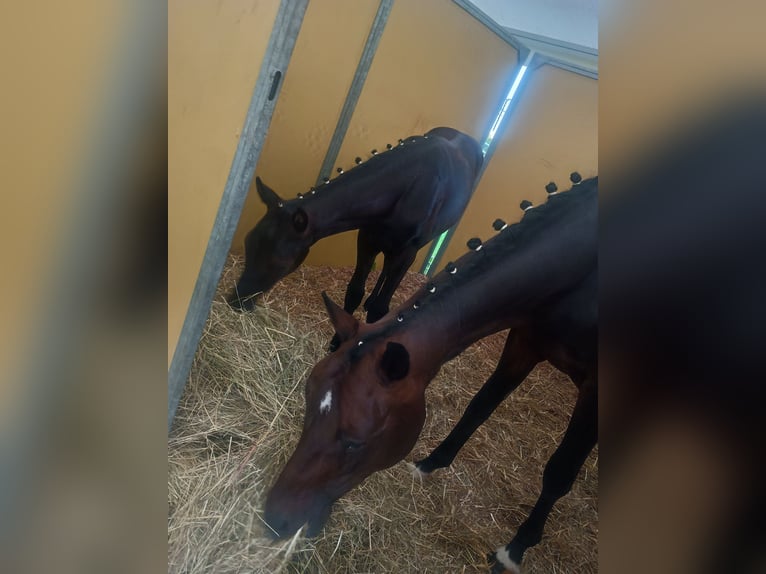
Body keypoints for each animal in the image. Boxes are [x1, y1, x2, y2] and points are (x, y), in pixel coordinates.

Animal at [227, 127, 483, 349]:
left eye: (279, 262)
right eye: (248, 243)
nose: (237, 300)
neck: (407, 187)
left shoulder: (407, 251)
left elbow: (380, 307)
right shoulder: (368, 239)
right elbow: (354, 293)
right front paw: (337, 342)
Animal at [262, 174, 597, 573]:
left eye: (355, 442)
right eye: (308, 406)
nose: (275, 519)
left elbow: (559, 472)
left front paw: (514, 549)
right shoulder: (525, 341)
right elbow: (478, 407)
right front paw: (432, 463)